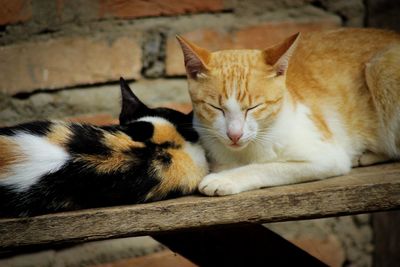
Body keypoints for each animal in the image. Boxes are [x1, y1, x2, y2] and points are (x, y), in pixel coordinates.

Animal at [177, 28, 400, 197]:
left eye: (253, 107)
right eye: (216, 108)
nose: (234, 135)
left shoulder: (328, 157)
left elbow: (267, 167)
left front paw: (225, 178)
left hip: (381, 67)